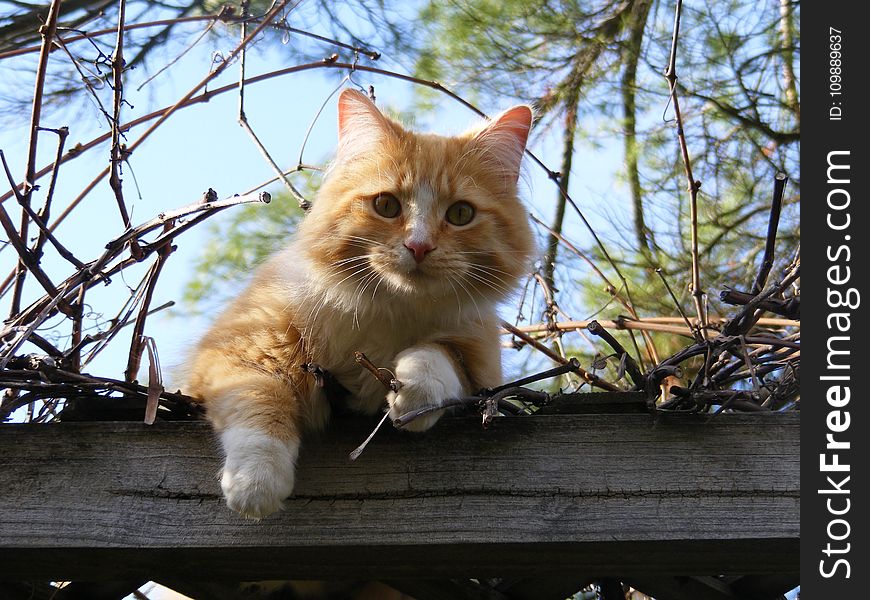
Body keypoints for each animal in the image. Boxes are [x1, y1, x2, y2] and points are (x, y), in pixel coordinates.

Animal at [187, 86, 536, 516]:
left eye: (460, 214)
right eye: (386, 205)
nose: (419, 246)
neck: (388, 311)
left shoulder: (480, 362)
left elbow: (439, 356)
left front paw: (414, 395)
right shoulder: (239, 349)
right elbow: (261, 404)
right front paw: (255, 484)